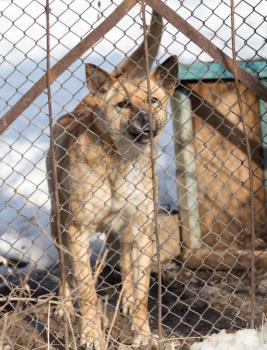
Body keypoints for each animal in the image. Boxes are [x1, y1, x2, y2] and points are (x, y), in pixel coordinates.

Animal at [47, 10, 179, 350]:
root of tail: (88, 102)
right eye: (123, 104)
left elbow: (142, 288)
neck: (121, 163)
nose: (146, 122)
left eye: (154, 100)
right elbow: (87, 291)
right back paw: (65, 305)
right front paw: (91, 334)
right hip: (58, 224)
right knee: (66, 271)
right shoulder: (77, 232)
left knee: (128, 269)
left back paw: (128, 301)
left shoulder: (142, 228)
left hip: (128, 234)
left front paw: (142, 331)